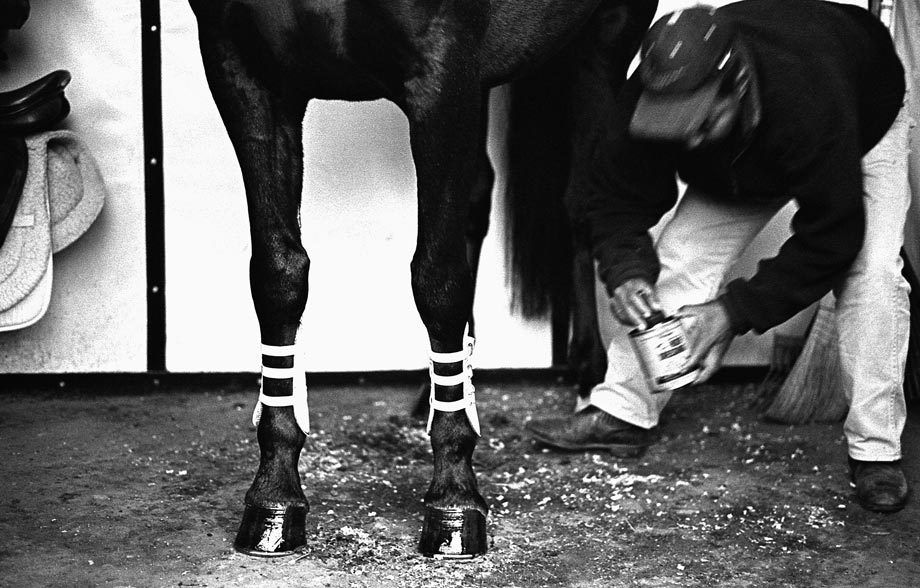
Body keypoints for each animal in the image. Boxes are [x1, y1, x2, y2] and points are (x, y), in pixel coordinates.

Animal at [187, 0, 657, 559]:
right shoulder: (244, 72)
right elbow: (279, 272)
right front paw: (274, 496)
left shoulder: (442, 77)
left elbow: (438, 278)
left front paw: (454, 499)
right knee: (479, 195)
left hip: (602, 41)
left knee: (577, 197)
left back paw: (589, 365)